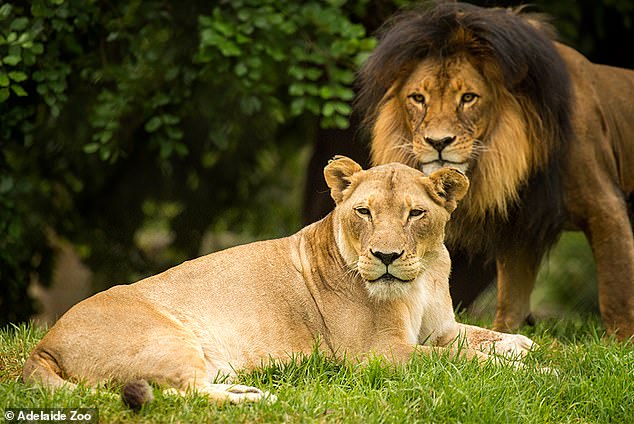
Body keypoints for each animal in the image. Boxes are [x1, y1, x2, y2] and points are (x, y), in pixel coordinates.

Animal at [23, 157, 532, 404]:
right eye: (364, 212)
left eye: (416, 214)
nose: (385, 257)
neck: (420, 280)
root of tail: (43, 345)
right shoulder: (376, 355)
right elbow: (458, 361)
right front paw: (532, 371)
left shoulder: (438, 327)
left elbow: (477, 338)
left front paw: (525, 346)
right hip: (164, 337)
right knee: (180, 396)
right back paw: (261, 400)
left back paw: (250, 391)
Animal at [356, 1, 632, 336]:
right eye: (418, 98)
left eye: (468, 98)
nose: (438, 141)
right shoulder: (520, 223)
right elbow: (511, 294)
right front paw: (504, 332)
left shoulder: (605, 208)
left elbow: (616, 289)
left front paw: (621, 340)